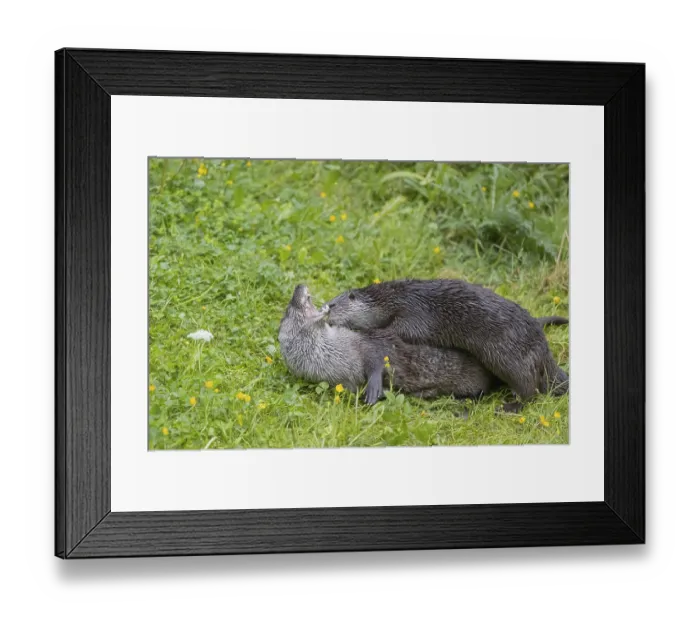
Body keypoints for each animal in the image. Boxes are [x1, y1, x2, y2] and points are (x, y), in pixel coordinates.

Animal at [278, 284, 501, 404]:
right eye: (289, 310)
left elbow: (378, 358)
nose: (298, 287)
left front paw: (374, 388)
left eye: (290, 303)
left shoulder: (368, 343)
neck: (342, 352)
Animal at [325, 279, 569, 401]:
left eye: (332, 305)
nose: (325, 313)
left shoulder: (416, 313)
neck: (395, 298)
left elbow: (401, 330)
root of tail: (542, 345)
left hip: (511, 359)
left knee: (530, 390)